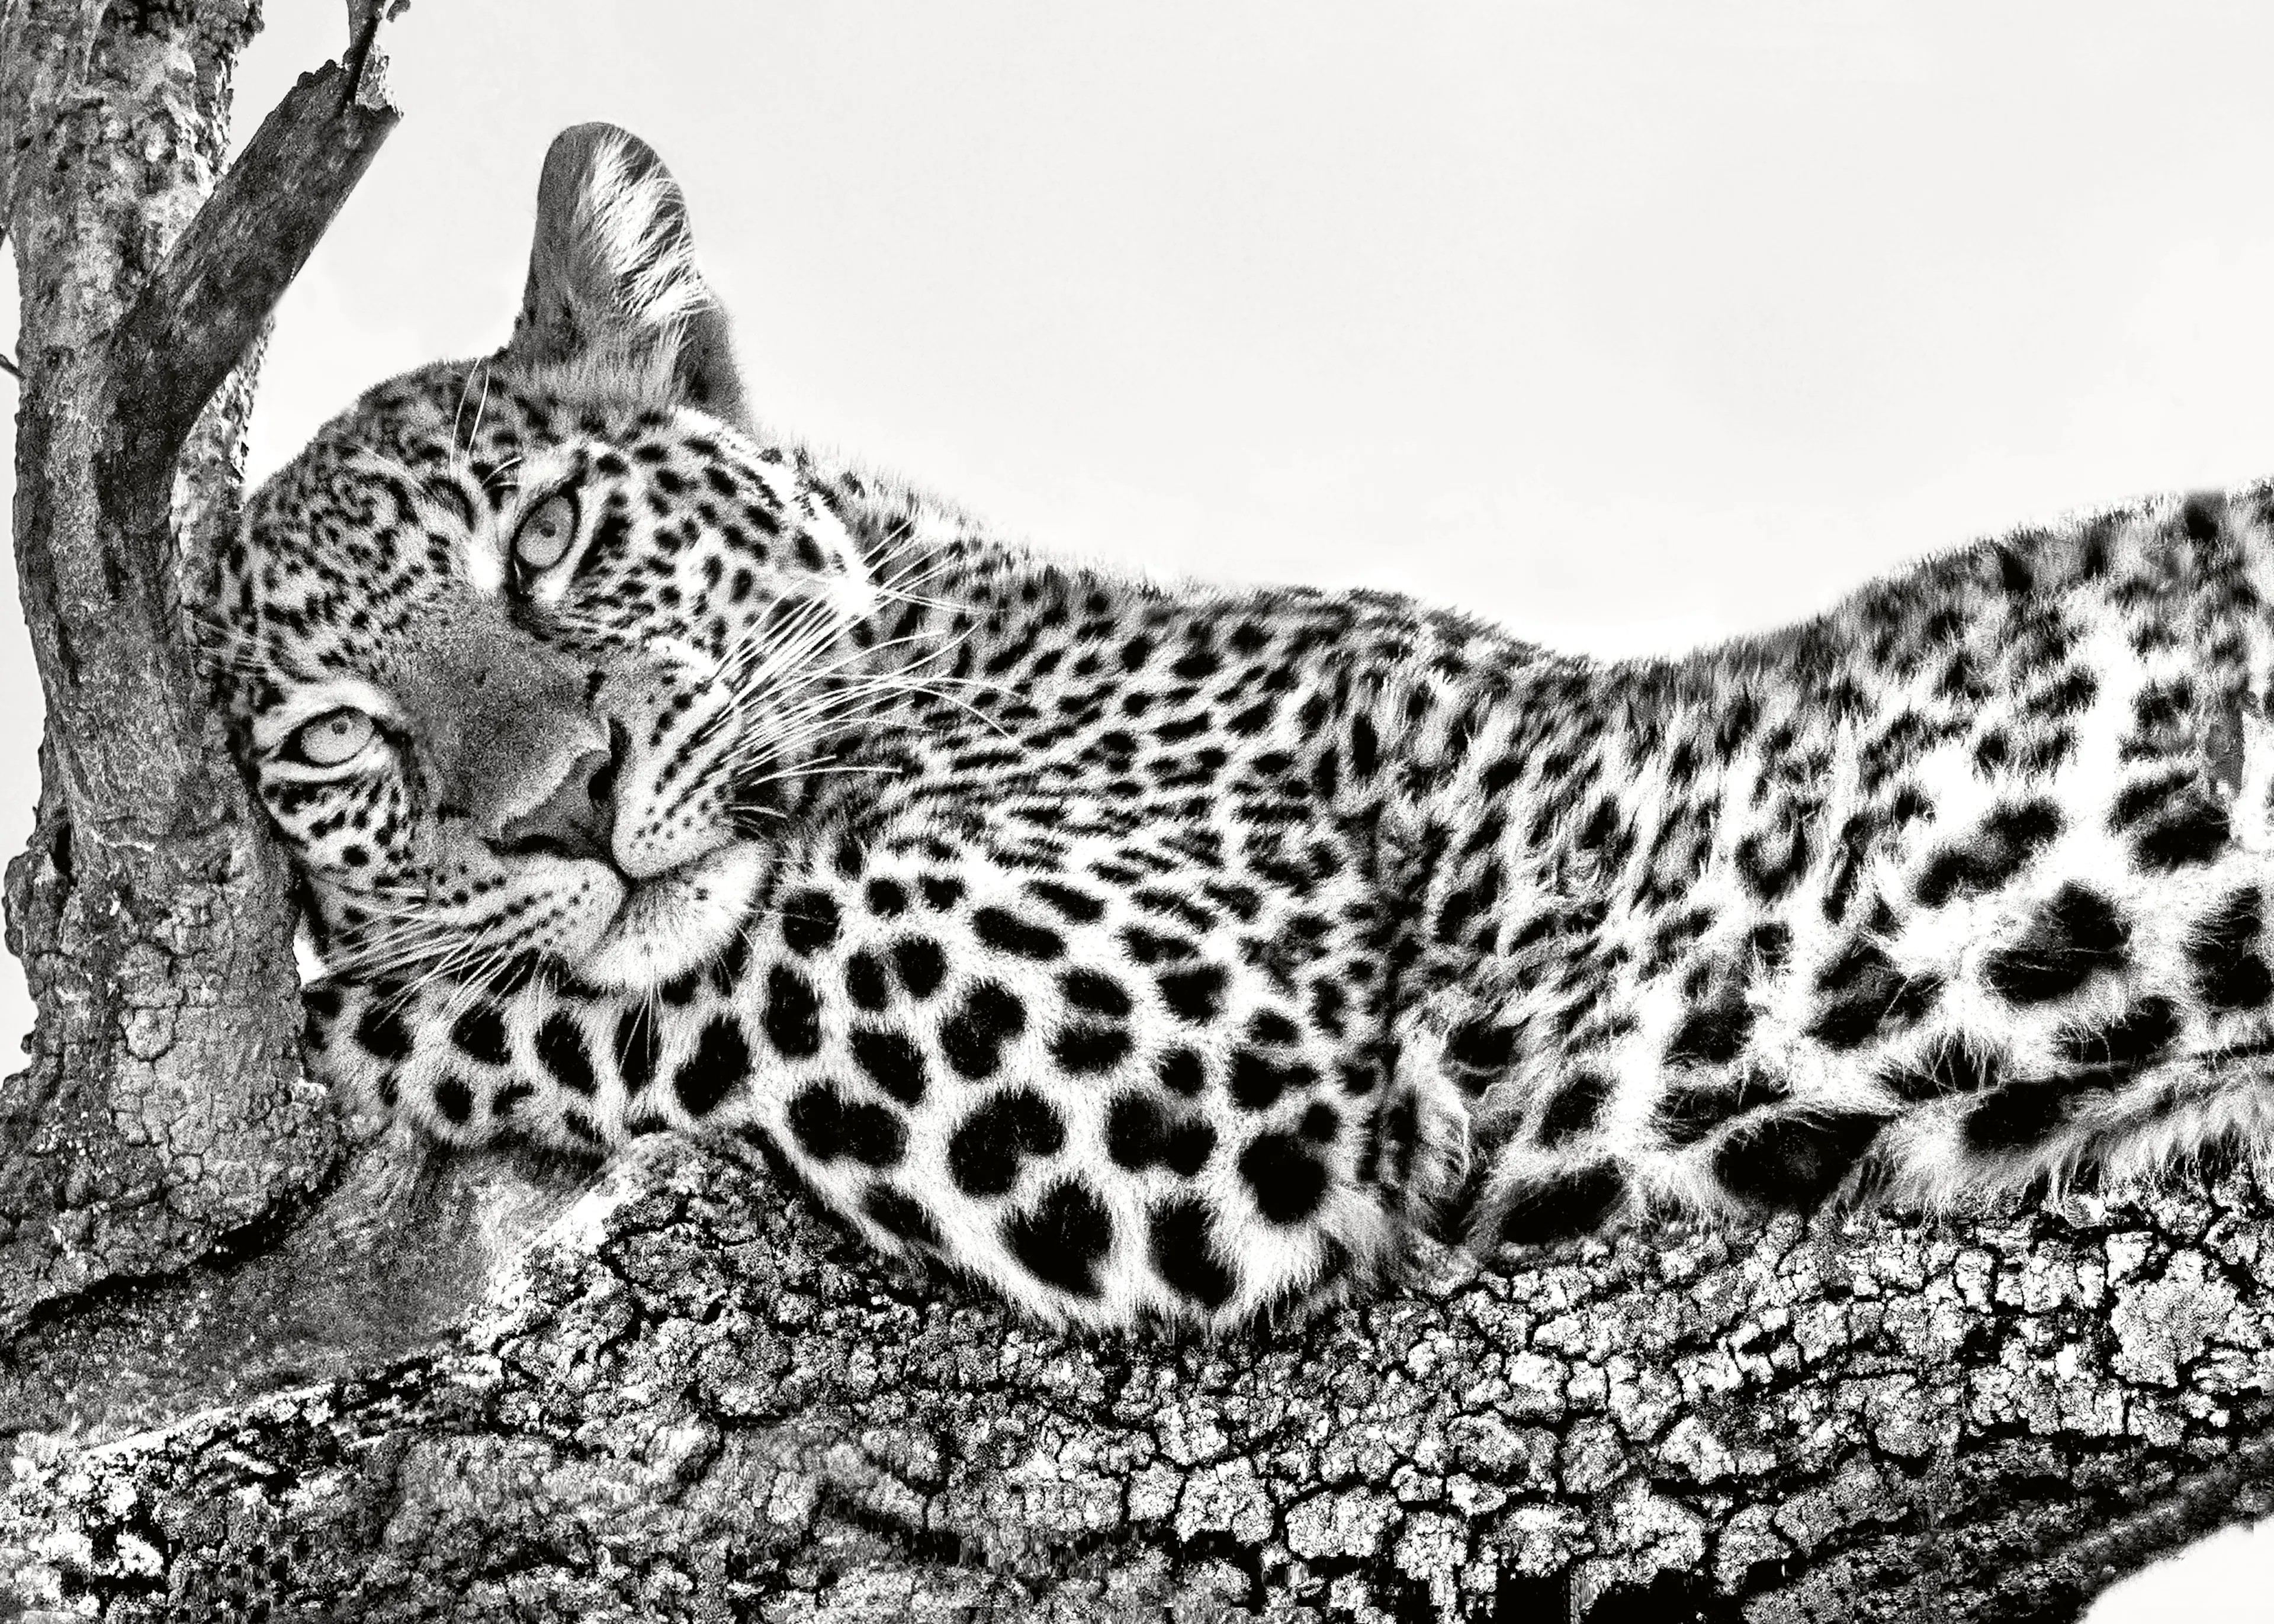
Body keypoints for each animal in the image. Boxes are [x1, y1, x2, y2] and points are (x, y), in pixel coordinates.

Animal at [188, 121, 2274, 1333]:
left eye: (545, 535)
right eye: (334, 745)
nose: (564, 805)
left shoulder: (1204, 1022)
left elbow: (686, 967)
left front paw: (347, 1016)